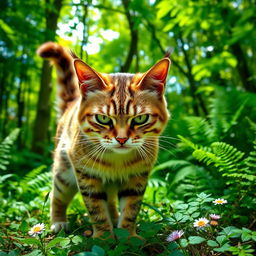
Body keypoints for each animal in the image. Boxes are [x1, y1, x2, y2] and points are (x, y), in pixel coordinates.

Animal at [37, 42, 170, 238]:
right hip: (64, 172)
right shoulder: (86, 175)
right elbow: (96, 209)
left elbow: (131, 209)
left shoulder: (138, 176)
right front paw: (103, 237)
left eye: (140, 119)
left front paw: (127, 236)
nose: (121, 139)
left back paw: (114, 219)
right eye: (103, 119)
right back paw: (58, 221)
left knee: (111, 201)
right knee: (57, 194)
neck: (117, 160)